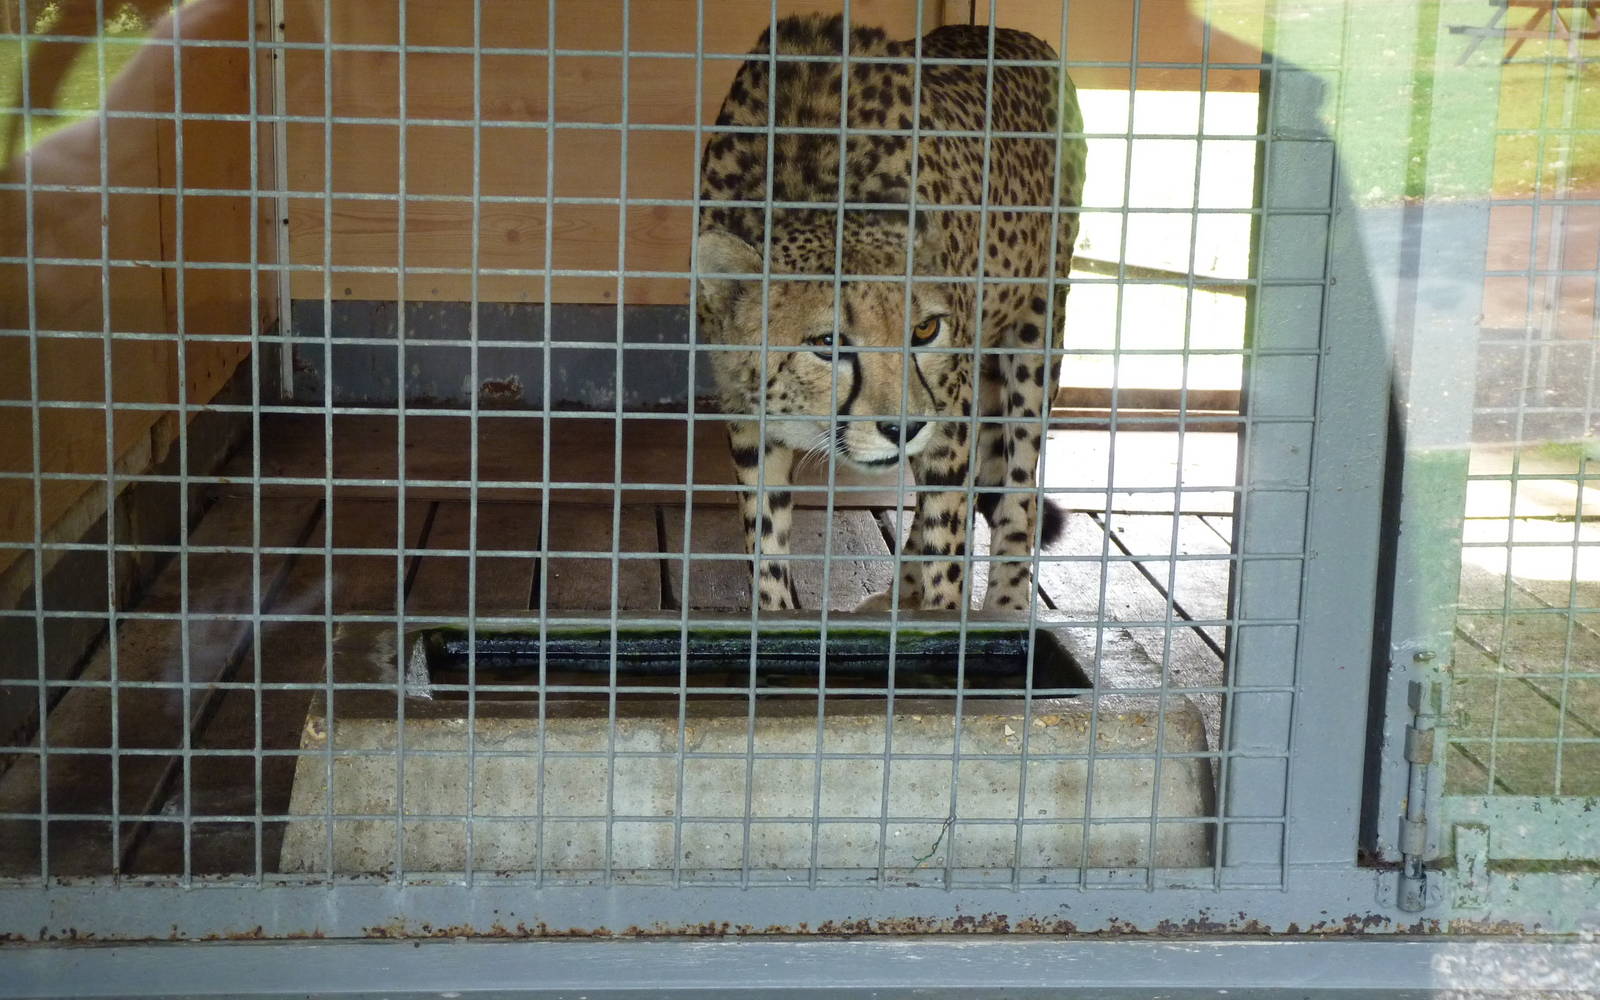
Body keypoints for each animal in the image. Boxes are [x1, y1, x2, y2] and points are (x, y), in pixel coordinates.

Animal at [694, 13, 1085, 614]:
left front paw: (940, 620)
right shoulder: (747, 417)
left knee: (1017, 480)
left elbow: (949, 538)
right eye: (827, 343)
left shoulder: (952, 412)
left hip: (1037, 328)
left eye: (925, 329)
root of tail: (1014, 34)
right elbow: (765, 545)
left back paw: (1005, 603)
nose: (904, 427)